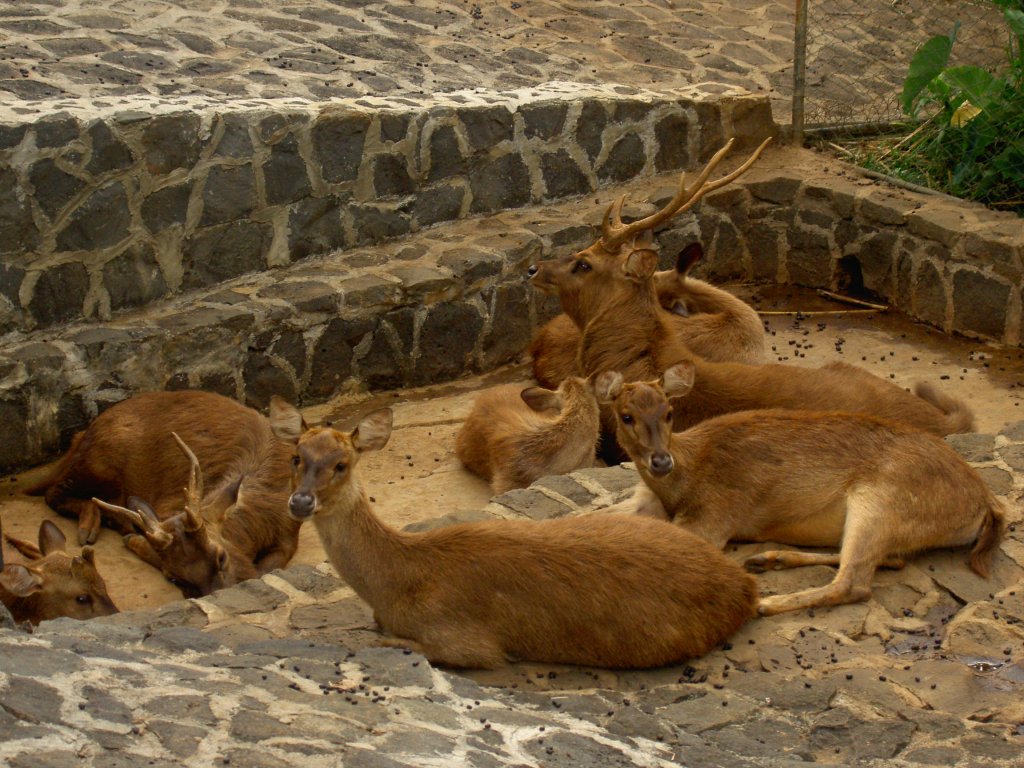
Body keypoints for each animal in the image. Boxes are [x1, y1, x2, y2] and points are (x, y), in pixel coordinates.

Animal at [25, 393, 301, 598]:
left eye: (221, 556)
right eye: (174, 578)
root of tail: (81, 436)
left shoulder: (289, 532)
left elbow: (267, 568)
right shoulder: (166, 507)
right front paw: (133, 538)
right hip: (99, 463)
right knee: (53, 492)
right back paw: (92, 524)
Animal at [268, 405, 757, 671]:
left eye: (341, 464)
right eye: (297, 456)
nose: (301, 501)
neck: (398, 585)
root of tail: (744, 586)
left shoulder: (464, 639)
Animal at [598, 366, 1003, 618]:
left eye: (669, 412)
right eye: (626, 415)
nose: (660, 461)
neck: (682, 481)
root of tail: (985, 503)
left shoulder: (714, 516)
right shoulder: (645, 502)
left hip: (882, 501)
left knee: (855, 583)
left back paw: (766, 602)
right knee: (887, 560)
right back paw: (769, 559)